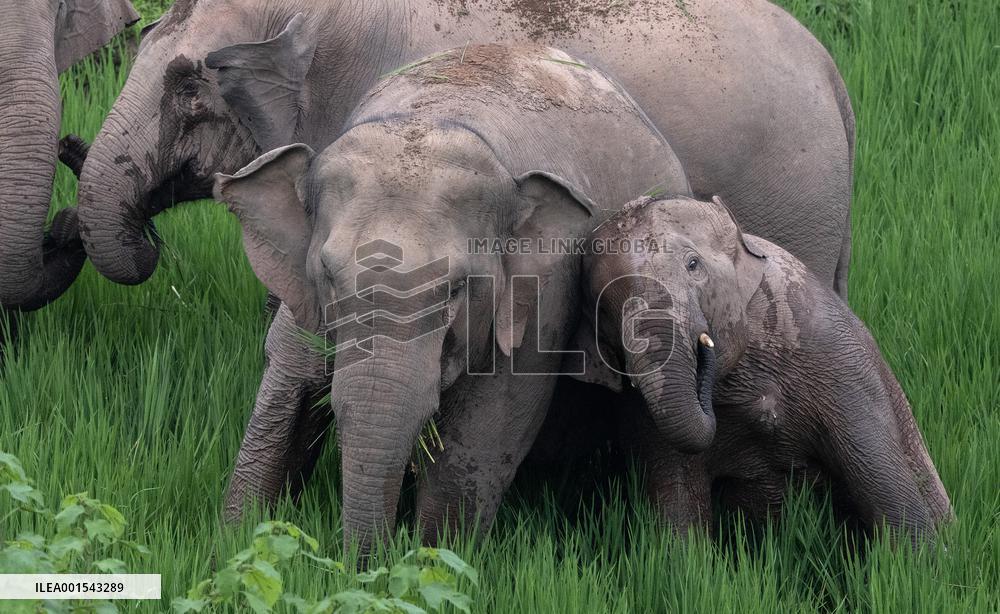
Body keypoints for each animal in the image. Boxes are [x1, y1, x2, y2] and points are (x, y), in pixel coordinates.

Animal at [213, 44, 693, 551]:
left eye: (457, 289)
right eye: (327, 276)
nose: (364, 561)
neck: (436, 115)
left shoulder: (542, 299)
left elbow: (487, 427)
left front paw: (433, 558)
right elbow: (289, 378)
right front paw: (237, 540)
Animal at [574, 195, 953, 544]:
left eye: (693, 264)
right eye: (602, 309)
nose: (704, 355)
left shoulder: (836, 358)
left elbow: (887, 487)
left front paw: (919, 566)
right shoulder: (642, 411)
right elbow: (677, 506)